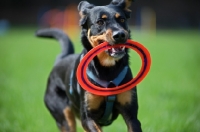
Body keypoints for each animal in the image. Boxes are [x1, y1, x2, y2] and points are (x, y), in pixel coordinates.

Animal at [36, 0, 142, 131]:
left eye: (121, 19)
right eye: (100, 22)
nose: (120, 34)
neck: (108, 69)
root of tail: (61, 59)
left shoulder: (131, 115)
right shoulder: (87, 118)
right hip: (64, 116)